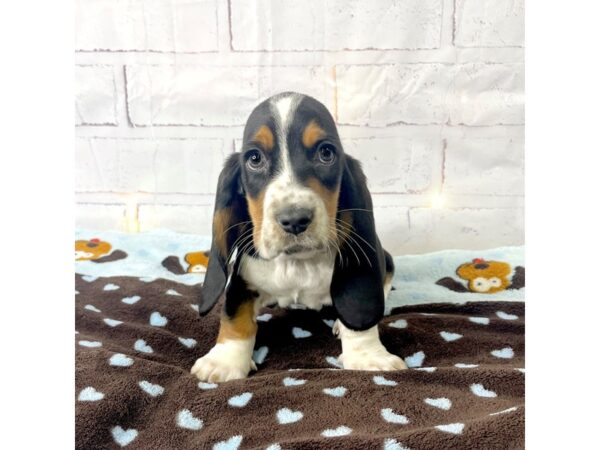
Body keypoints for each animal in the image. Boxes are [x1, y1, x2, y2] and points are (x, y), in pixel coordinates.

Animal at [192, 93, 408, 382]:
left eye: (326, 153)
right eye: (254, 158)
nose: (294, 220)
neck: (296, 263)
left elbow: (360, 320)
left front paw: (368, 357)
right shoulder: (241, 279)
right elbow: (235, 316)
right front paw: (223, 361)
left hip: (386, 258)